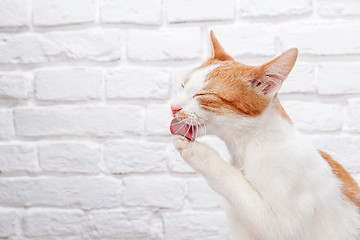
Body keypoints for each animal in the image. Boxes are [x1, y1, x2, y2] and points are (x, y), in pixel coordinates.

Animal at [170, 31, 358, 239]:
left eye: (204, 94)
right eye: (182, 86)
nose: (173, 107)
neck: (252, 144)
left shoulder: (281, 223)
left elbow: (232, 180)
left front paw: (197, 151)